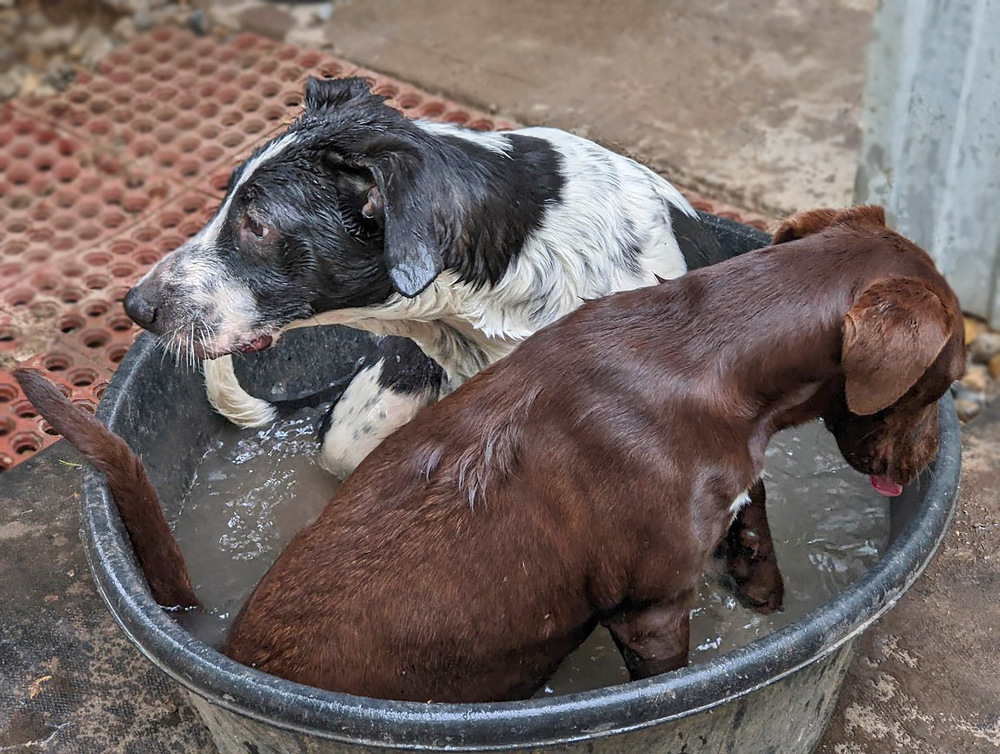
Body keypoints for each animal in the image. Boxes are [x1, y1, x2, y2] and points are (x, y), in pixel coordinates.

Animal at [15, 204, 964, 700]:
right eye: (951, 376)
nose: (920, 465)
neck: (704, 349)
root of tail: (224, 643)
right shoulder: (650, 608)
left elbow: (758, 545)